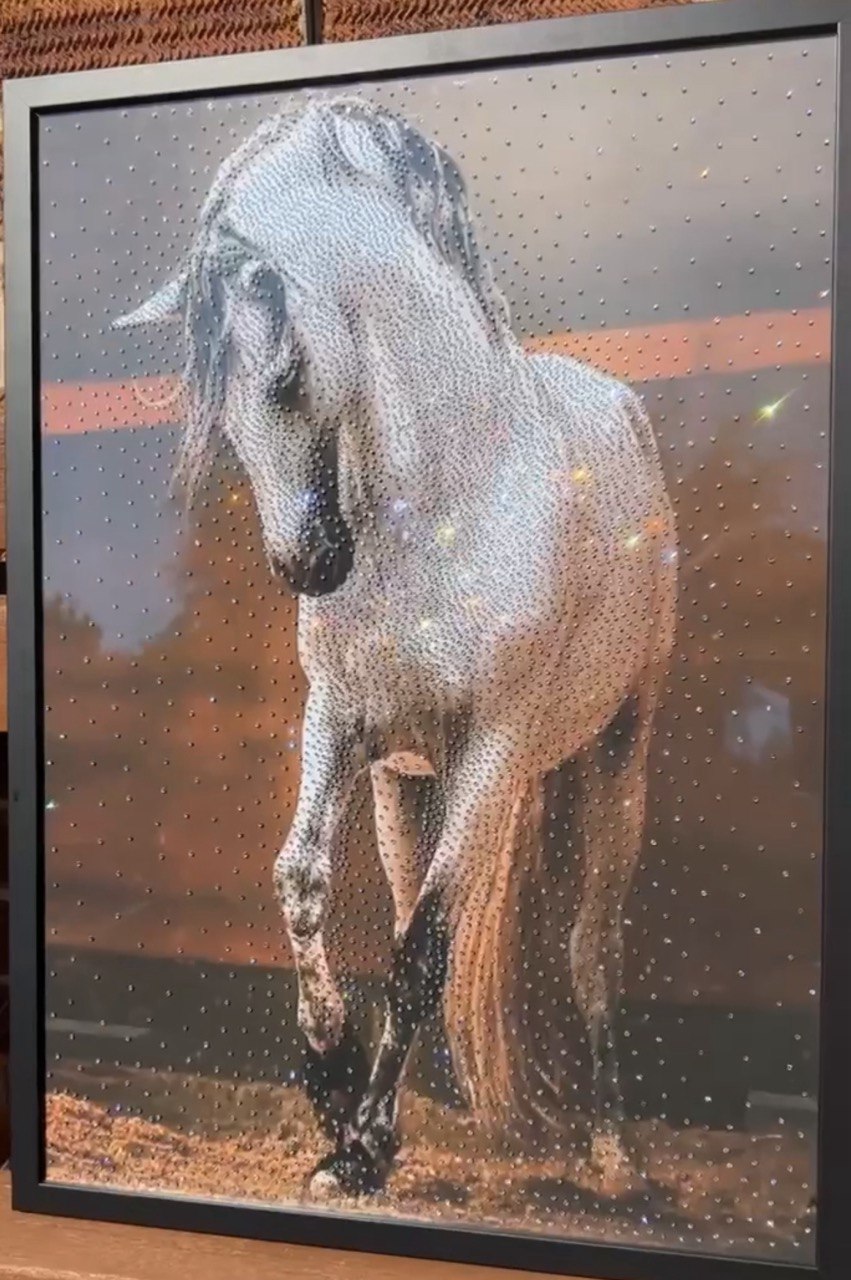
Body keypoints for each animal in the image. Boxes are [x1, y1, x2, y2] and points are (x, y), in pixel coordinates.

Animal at [117, 97, 675, 1198]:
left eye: (288, 375)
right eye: (217, 405)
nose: (307, 564)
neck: (449, 502)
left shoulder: (493, 752)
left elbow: (424, 946)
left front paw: (362, 1147)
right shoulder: (342, 728)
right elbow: (305, 884)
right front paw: (335, 1095)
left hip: (611, 756)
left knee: (587, 944)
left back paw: (609, 1153)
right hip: (405, 791)